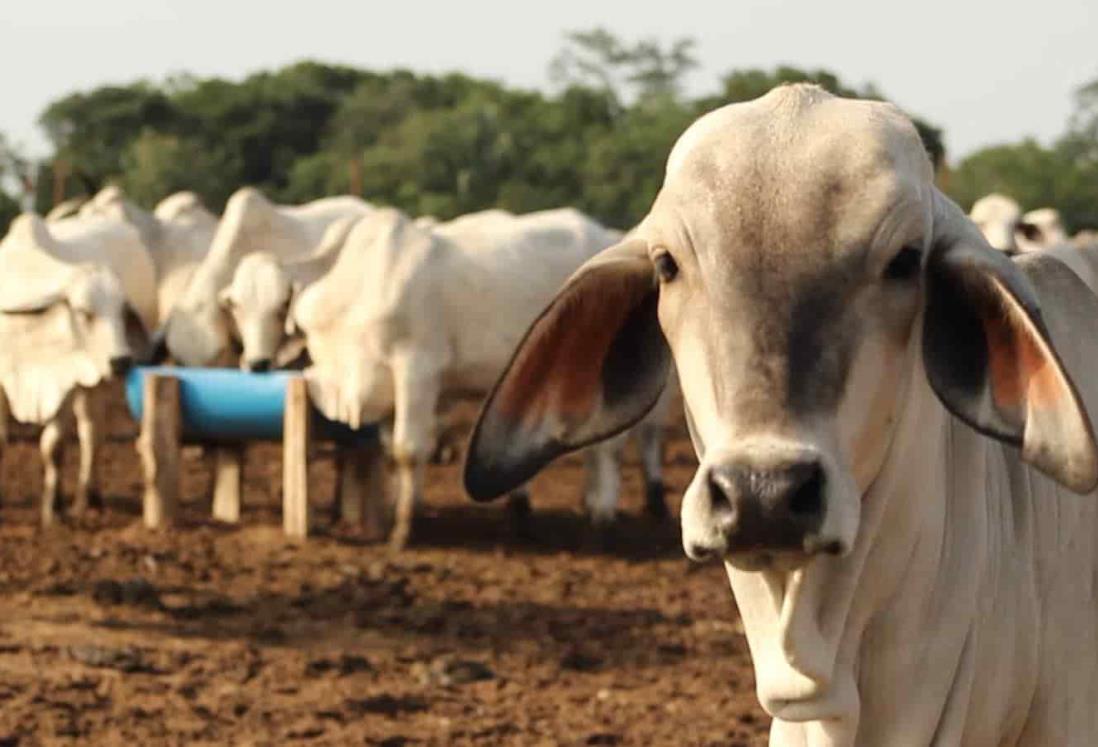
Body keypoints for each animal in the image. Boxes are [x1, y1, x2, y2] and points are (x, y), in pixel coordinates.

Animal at [0, 213, 154, 522]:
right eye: (84, 312)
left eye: (123, 312)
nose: (121, 361)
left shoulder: (64, 383)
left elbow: (54, 445)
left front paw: (53, 510)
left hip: (91, 381)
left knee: (91, 433)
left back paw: (88, 499)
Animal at [294, 205, 667, 549]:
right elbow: (391, 452)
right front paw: (403, 508)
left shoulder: (417, 369)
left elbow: (407, 450)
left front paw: (403, 530)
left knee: (609, 449)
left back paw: (601, 518)